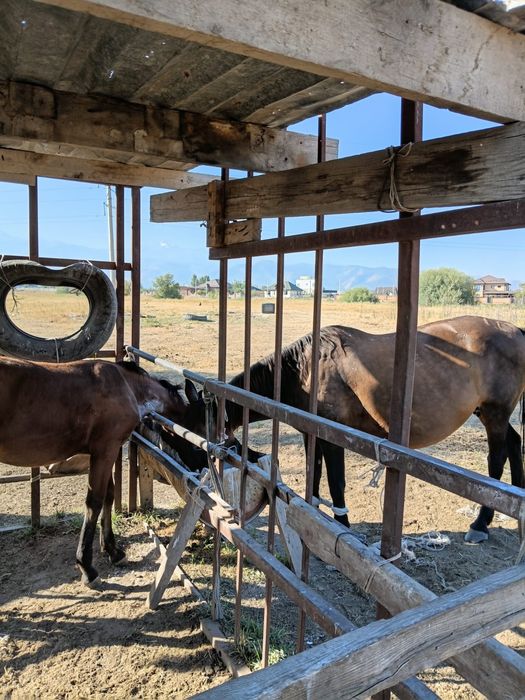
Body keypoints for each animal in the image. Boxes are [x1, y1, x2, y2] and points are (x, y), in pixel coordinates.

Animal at [0, 356, 191, 586]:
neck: (127, 386)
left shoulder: (104, 454)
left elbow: (108, 496)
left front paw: (112, 550)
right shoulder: (106, 450)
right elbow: (95, 502)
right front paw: (87, 566)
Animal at [188, 316, 525, 543]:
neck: (305, 370)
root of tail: (516, 331)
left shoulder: (334, 438)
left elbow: (336, 482)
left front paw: (342, 525)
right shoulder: (311, 434)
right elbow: (313, 476)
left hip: (494, 415)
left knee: (497, 460)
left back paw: (480, 524)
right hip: (489, 415)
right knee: (515, 443)